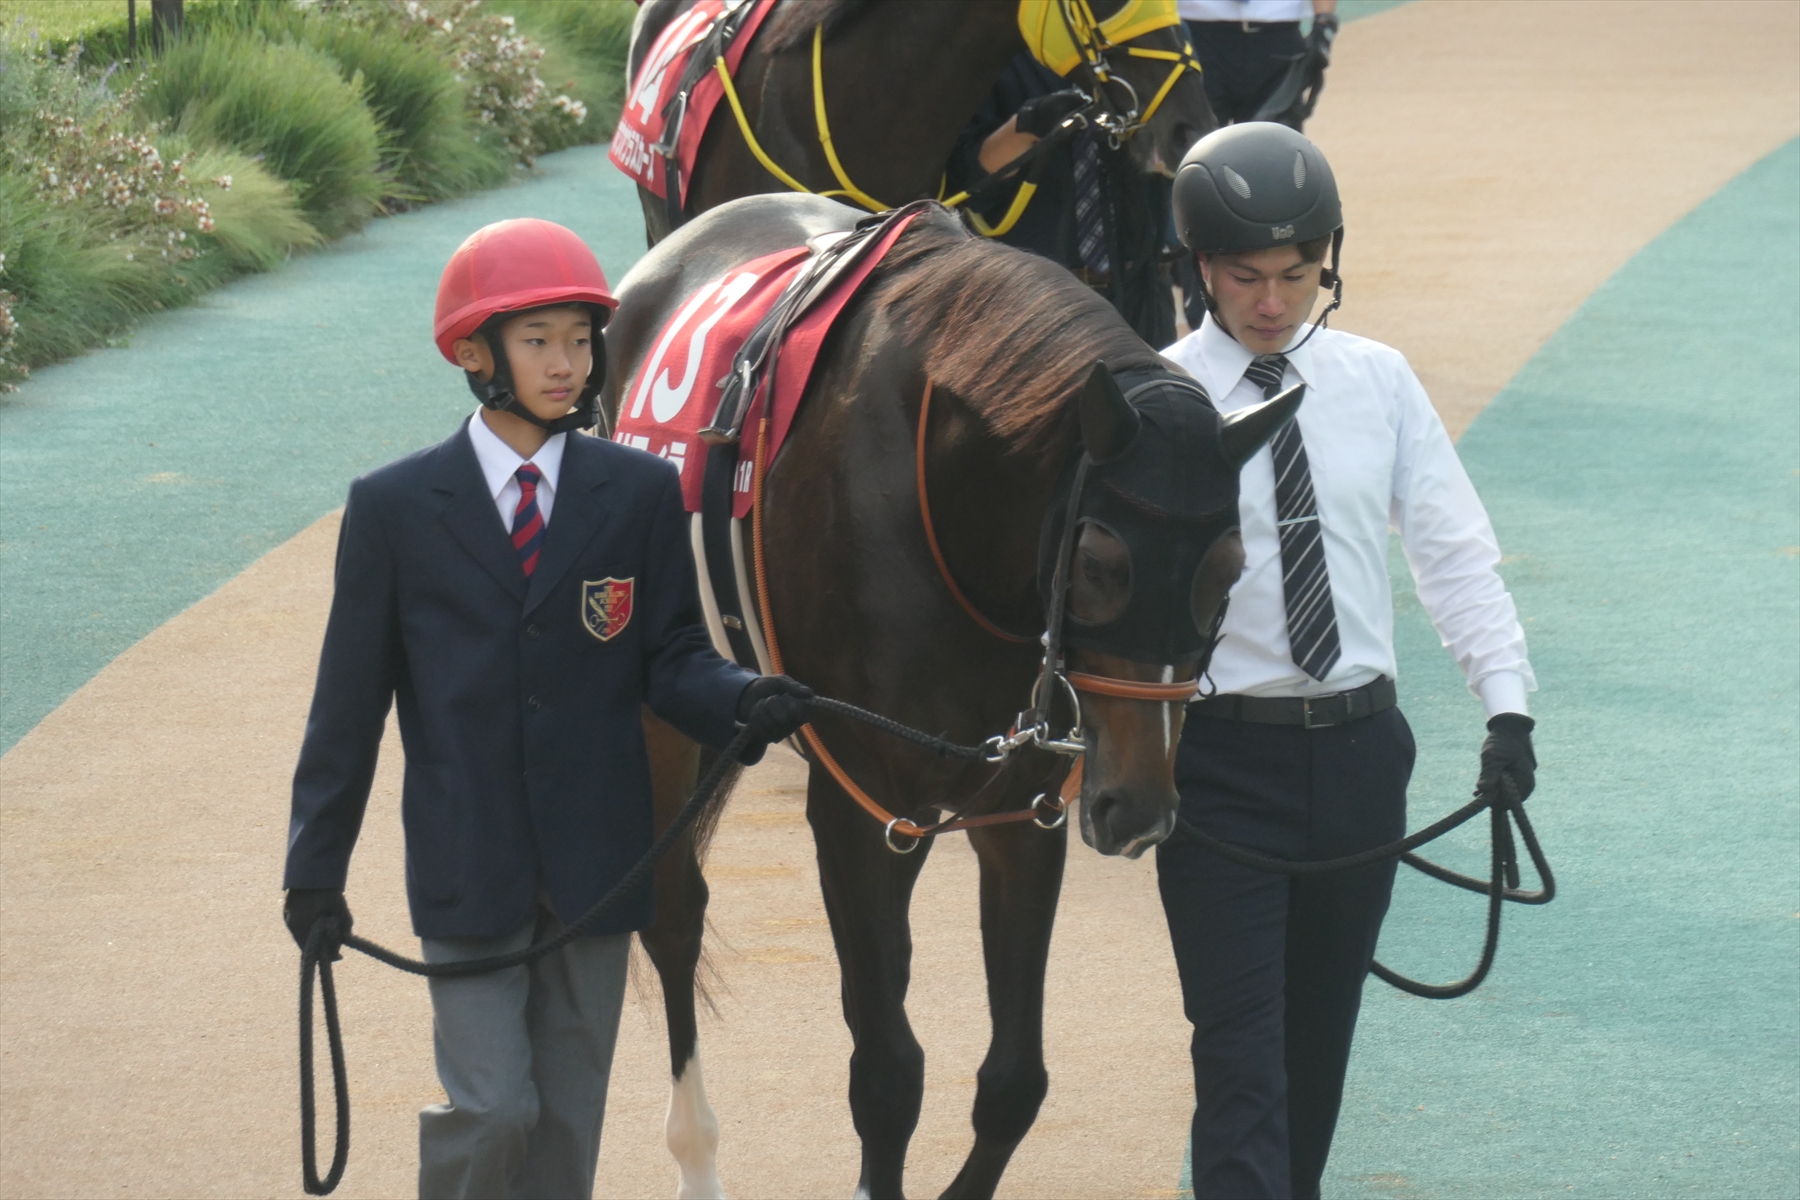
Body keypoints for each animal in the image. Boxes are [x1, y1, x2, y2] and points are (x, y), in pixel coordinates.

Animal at [603, 193, 1297, 1199]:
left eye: (1232, 568)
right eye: (1099, 562)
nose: (1139, 810)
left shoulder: (1026, 807)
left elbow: (1014, 1082)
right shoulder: (862, 810)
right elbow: (888, 1073)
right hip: (660, 703)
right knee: (672, 908)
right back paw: (696, 1154)